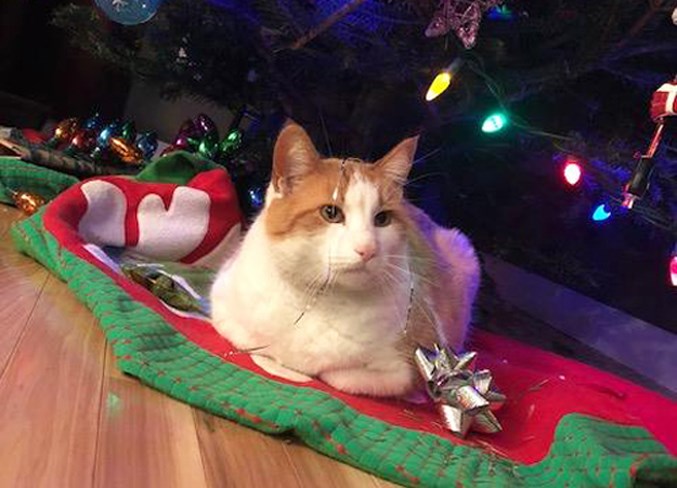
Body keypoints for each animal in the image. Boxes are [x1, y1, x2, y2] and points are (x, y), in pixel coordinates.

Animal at [209, 121, 478, 396]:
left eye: (382, 219)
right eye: (331, 212)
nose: (367, 249)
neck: (320, 299)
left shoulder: (410, 367)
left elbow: (338, 375)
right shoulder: (221, 302)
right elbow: (249, 338)